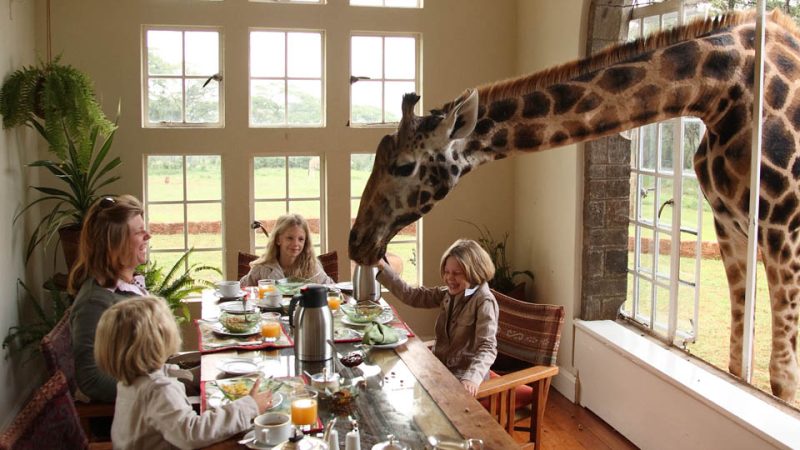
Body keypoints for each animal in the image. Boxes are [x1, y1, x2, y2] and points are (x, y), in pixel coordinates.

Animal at [348, 9, 800, 401]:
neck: (718, 89)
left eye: (404, 165)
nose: (357, 243)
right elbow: (739, 355)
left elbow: (781, 377)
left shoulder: (784, 230)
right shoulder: (731, 226)